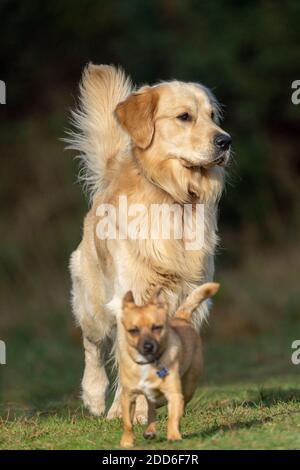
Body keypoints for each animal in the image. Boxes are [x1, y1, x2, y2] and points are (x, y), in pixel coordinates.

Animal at [118, 280, 219, 446]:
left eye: (157, 327)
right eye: (133, 330)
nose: (148, 346)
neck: (148, 363)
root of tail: (181, 317)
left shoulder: (174, 394)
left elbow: (173, 417)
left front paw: (173, 436)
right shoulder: (128, 397)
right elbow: (127, 423)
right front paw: (126, 442)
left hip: (189, 385)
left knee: (179, 405)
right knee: (151, 408)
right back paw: (150, 430)